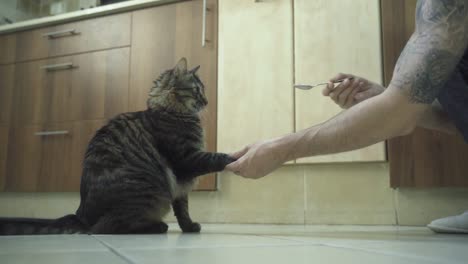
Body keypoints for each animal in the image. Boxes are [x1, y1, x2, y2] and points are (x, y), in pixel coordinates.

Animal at [0, 57, 234, 235]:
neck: (169, 111)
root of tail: (81, 216)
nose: (206, 101)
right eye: (196, 90)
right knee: (108, 227)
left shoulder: (180, 184)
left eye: (202, 91)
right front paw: (233, 158)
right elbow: (215, 158)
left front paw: (189, 227)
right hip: (148, 192)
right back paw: (157, 226)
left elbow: (183, 210)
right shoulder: (186, 159)